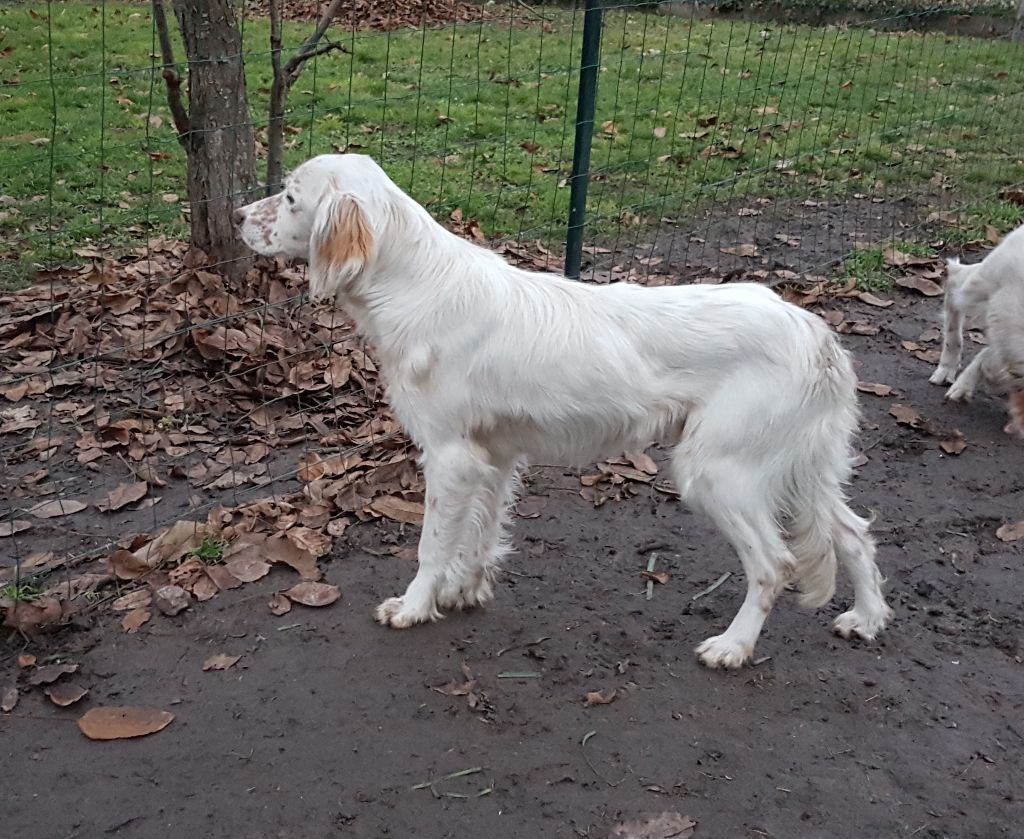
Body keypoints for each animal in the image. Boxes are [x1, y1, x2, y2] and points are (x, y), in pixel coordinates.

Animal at [234, 153, 892, 668]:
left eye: (290, 197)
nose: (238, 217)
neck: (417, 284)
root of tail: (814, 331)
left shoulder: (448, 457)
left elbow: (431, 545)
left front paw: (415, 606)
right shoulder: (492, 457)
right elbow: (479, 534)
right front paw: (466, 591)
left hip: (718, 472)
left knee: (774, 565)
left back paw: (733, 646)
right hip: (799, 467)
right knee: (854, 535)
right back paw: (865, 618)